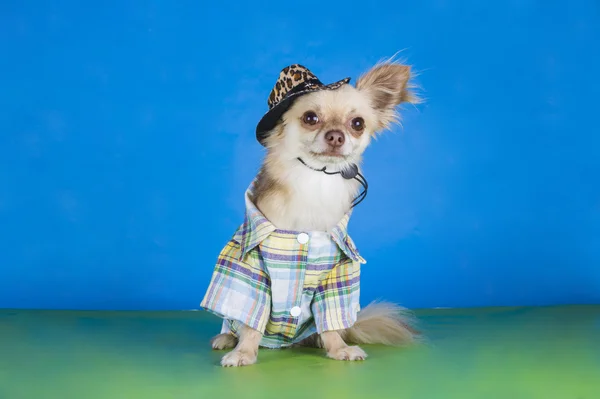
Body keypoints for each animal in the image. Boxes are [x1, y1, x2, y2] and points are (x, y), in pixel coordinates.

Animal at [199, 57, 420, 368]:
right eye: (310, 118)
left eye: (358, 124)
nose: (336, 136)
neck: (315, 180)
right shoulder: (251, 267)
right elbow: (252, 320)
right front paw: (244, 352)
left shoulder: (337, 273)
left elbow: (330, 320)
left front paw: (339, 348)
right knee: (234, 322)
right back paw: (226, 338)